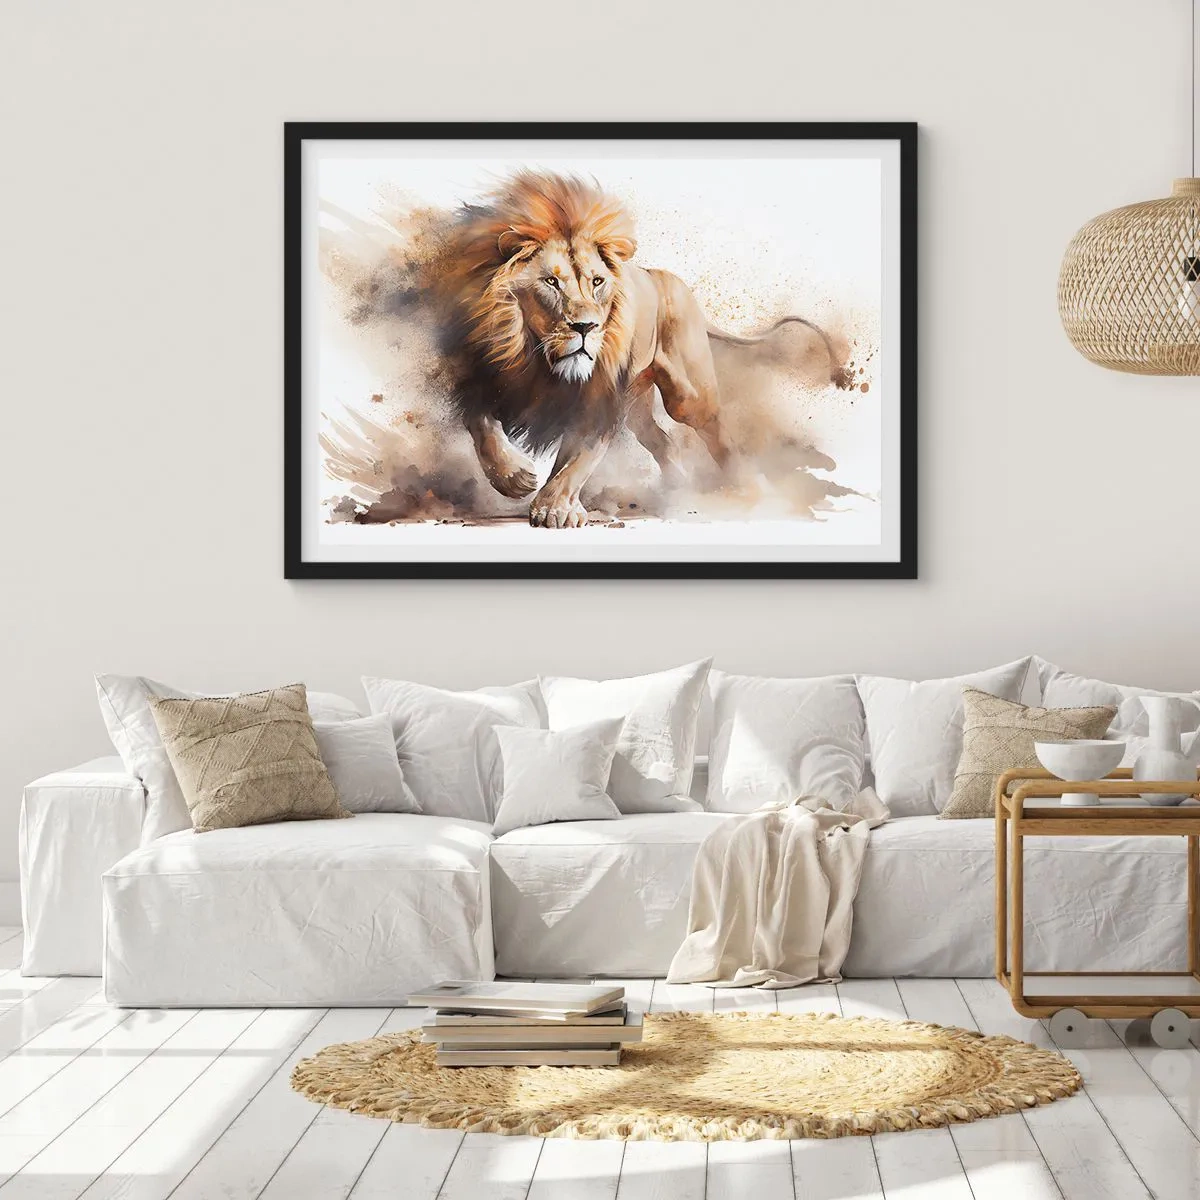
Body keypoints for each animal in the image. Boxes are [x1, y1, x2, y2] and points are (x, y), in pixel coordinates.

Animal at [436, 170, 851, 528]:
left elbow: (577, 459)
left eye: (597, 282)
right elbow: (482, 426)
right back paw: (679, 487)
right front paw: (515, 478)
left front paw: (556, 508)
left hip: (688, 396)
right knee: (663, 440)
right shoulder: (478, 376)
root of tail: (664, 277)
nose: (586, 327)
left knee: (718, 431)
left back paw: (751, 490)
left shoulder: (597, 401)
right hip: (636, 402)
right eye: (551, 282)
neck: (536, 357)